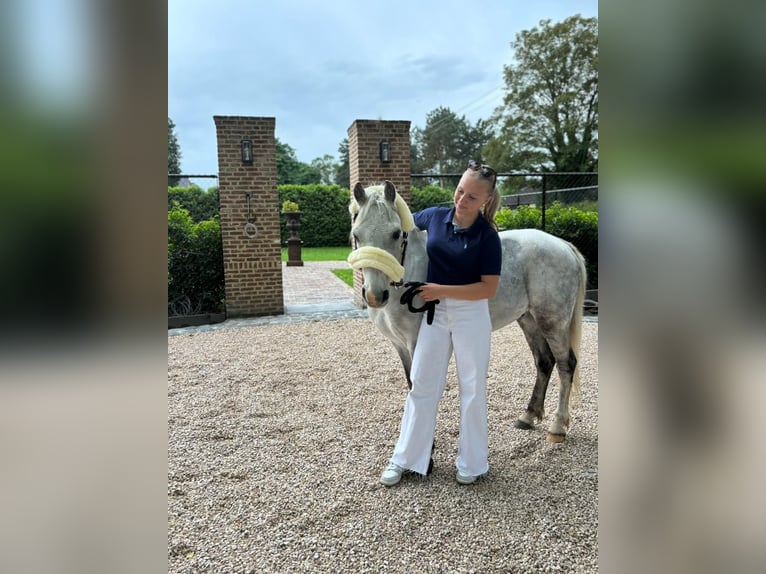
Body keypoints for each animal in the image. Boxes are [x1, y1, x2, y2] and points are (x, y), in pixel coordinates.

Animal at [348, 181, 587, 452]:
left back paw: (557, 427)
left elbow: (420, 386)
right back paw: (527, 416)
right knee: (544, 362)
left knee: (566, 364)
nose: (375, 295)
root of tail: (563, 246)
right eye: (357, 234)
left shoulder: (417, 342)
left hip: (553, 322)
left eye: (396, 233)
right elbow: (411, 383)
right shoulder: (399, 344)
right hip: (528, 320)